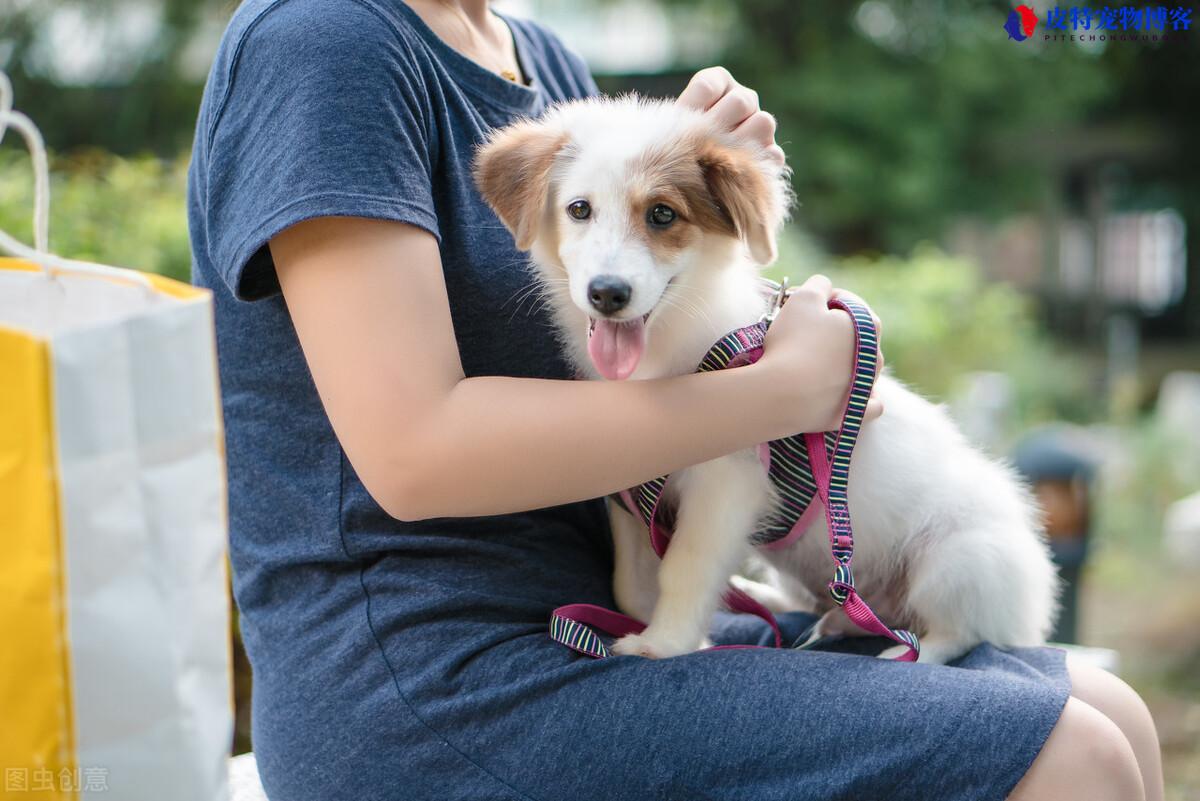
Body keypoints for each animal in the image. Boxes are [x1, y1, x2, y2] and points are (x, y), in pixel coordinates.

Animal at [472, 97, 1056, 666]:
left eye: (663, 214)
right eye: (579, 209)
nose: (607, 294)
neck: (671, 350)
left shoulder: (726, 483)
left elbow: (685, 565)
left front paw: (667, 643)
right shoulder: (632, 490)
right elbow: (632, 580)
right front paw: (659, 627)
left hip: (960, 560)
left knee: (960, 632)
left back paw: (906, 650)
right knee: (821, 601)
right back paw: (785, 605)